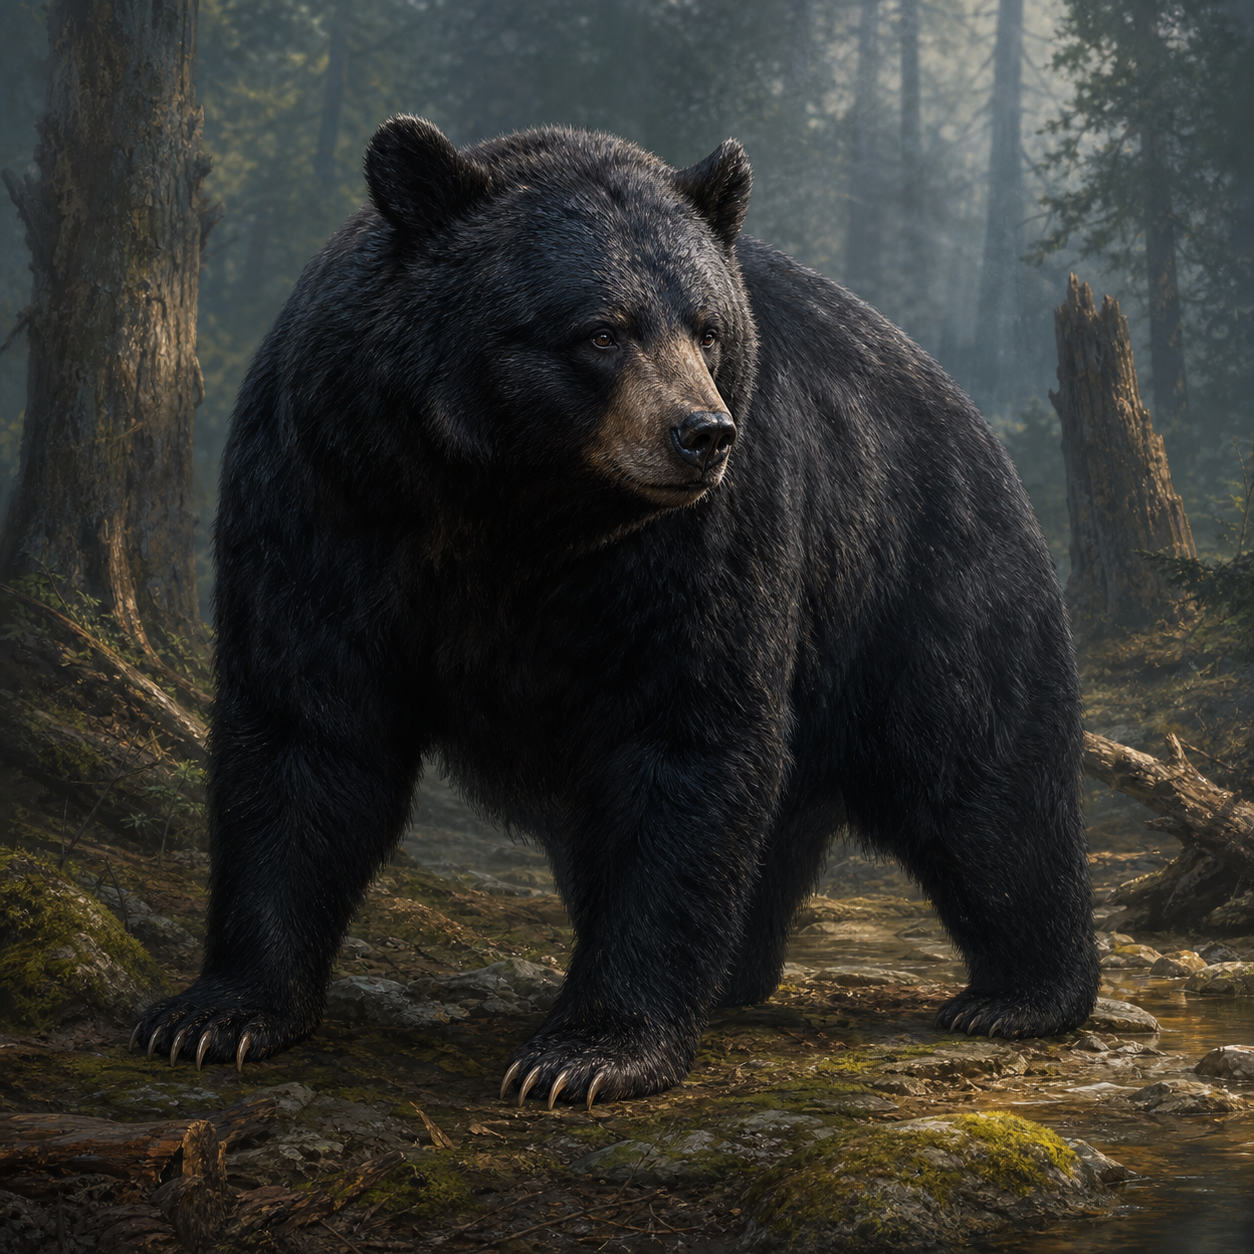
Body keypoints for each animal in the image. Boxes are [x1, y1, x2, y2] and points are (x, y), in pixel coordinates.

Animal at [134, 116, 1099, 1108]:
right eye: (601, 331)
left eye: (707, 328)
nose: (703, 434)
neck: (514, 507)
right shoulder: (328, 492)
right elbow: (303, 726)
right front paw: (215, 1015)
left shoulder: (698, 545)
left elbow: (680, 739)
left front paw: (586, 1053)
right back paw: (740, 971)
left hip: (924, 583)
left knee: (983, 788)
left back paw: (1020, 992)